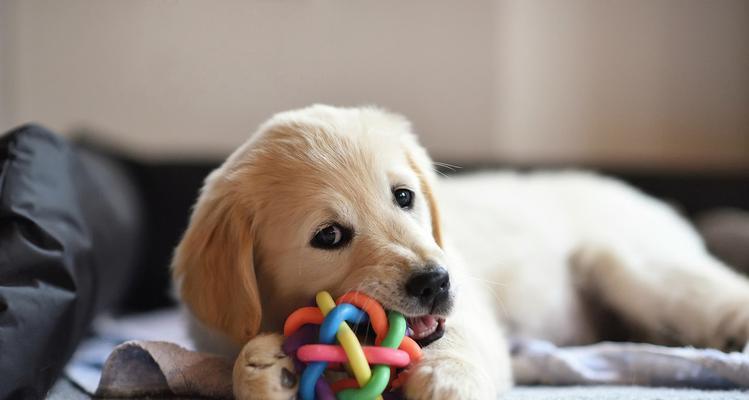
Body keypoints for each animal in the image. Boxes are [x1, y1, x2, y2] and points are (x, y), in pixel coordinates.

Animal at [172, 104, 748, 398]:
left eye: (404, 196)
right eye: (329, 236)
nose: (435, 281)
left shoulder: (469, 305)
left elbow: (459, 339)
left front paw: (449, 379)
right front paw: (268, 368)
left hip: (634, 267)